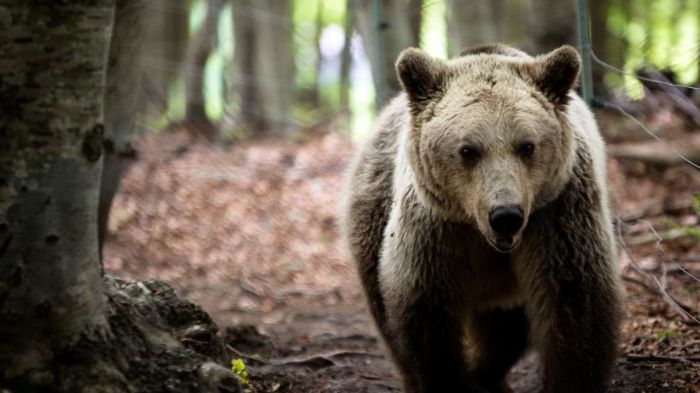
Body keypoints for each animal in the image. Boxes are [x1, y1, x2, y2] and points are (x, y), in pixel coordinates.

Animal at [342, 43, 620, 392]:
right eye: (468, 150)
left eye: (527, 146)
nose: (506, 215)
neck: (482, 235)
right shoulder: (435, 229)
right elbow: (426, 319)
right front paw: (446, 380)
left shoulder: (556, 214)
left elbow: (575, 306)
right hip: (374, 208)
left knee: (504, 332)